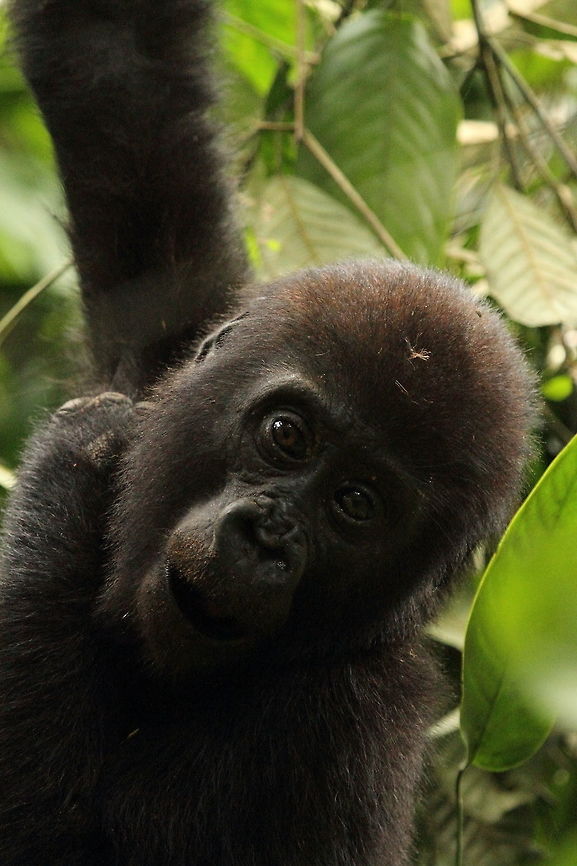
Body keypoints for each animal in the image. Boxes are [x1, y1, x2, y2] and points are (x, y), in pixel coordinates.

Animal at [0, 0, 534, 864]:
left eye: (356, 503)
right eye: (286, 435)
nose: (266, 534)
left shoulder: (347, 732)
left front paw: (66, 475)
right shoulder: (165, 349)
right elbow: (117, 63)